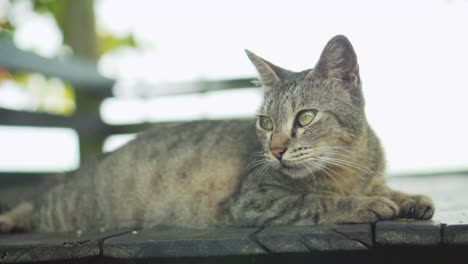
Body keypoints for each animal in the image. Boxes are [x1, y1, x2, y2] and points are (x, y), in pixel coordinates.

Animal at [0, 35, 436, 233]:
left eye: (306, 117)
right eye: (266, 123)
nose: (276, 150)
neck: (349, 168)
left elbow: (387, 188)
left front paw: (409, 198)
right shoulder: (253, 201)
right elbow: (315, 202)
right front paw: (365, 204)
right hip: (65, 207)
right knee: (30, 208)